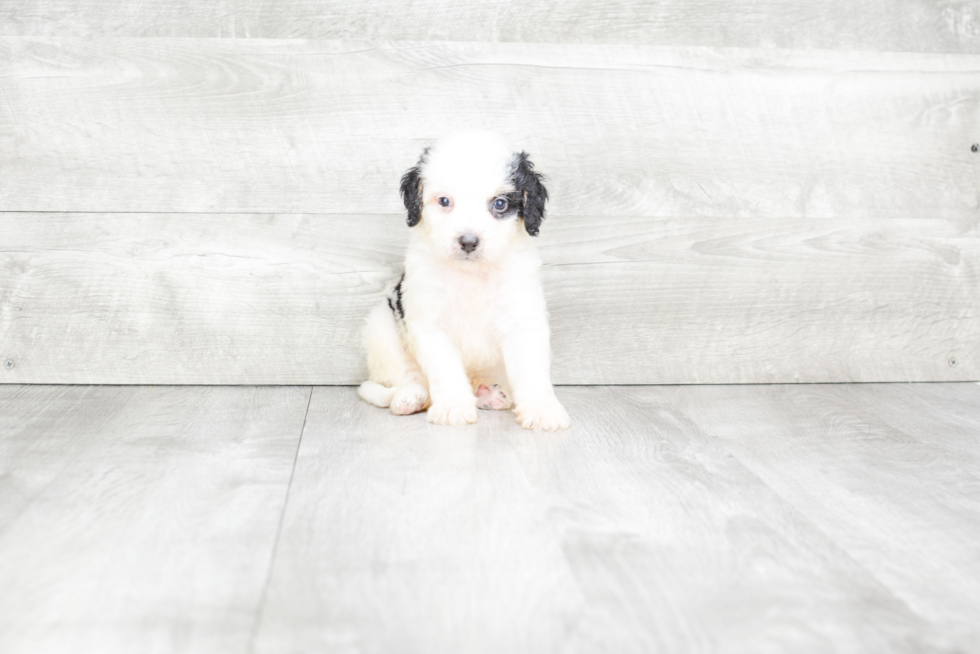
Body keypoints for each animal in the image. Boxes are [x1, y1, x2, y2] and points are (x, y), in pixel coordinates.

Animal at [358, 131, 576, 434]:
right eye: (444, 201)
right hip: (382, 327)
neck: (472, 275)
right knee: (408, 379)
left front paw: (543, 410)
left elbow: (531, 370)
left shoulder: (522, 317)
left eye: (500, 203)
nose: (469, 241)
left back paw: (487, 392)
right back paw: (411, 397)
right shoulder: (430, 322)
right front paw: (452, 408)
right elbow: (445, 371)